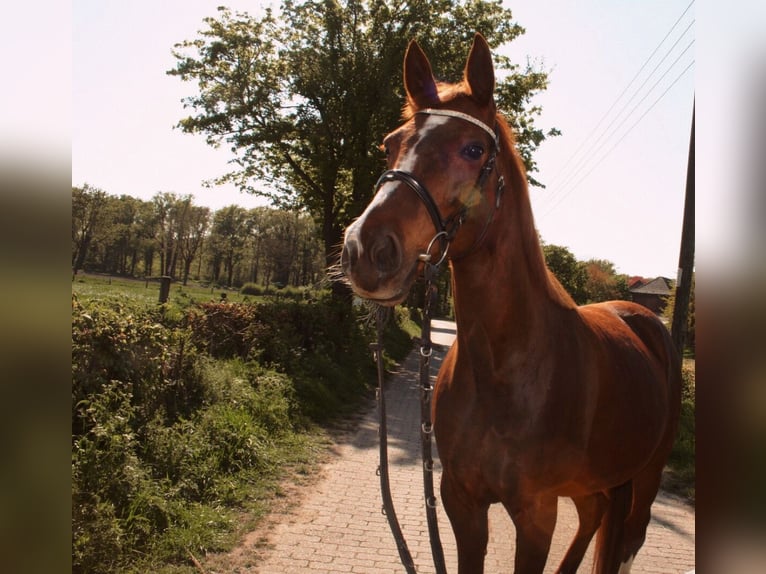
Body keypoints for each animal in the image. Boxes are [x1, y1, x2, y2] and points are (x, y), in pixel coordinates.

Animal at [341, 34, 681, 574]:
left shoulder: (536, 513)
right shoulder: (461, 501)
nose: (364, 249)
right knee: (595, 513)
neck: (506, 368)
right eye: (389, 144)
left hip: (645, 477)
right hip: (592, 482)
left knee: (628, 539)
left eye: (473, 148)